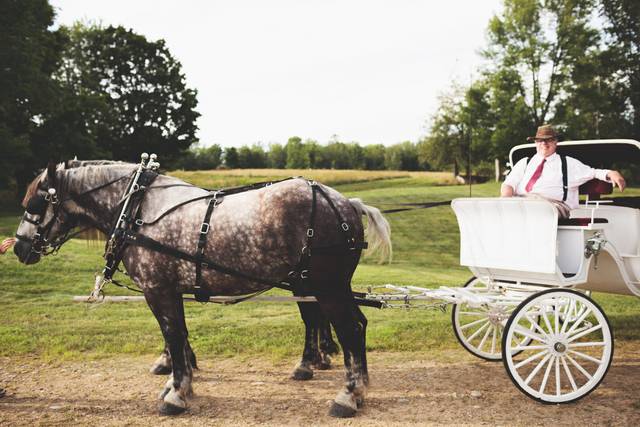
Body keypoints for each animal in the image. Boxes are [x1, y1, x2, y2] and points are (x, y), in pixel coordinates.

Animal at [13, 160, 392, 417]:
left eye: (35, 205)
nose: (17, 247)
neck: (137, 210)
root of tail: (346, 203)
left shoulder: (158, 289)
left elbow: (173, 335)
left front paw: (176, 393)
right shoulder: (169, 290)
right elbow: (176, 336)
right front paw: (176, 382)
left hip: (327, 285)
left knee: (350, 328)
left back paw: (348, 395)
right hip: (319, 283)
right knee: (345, 323)